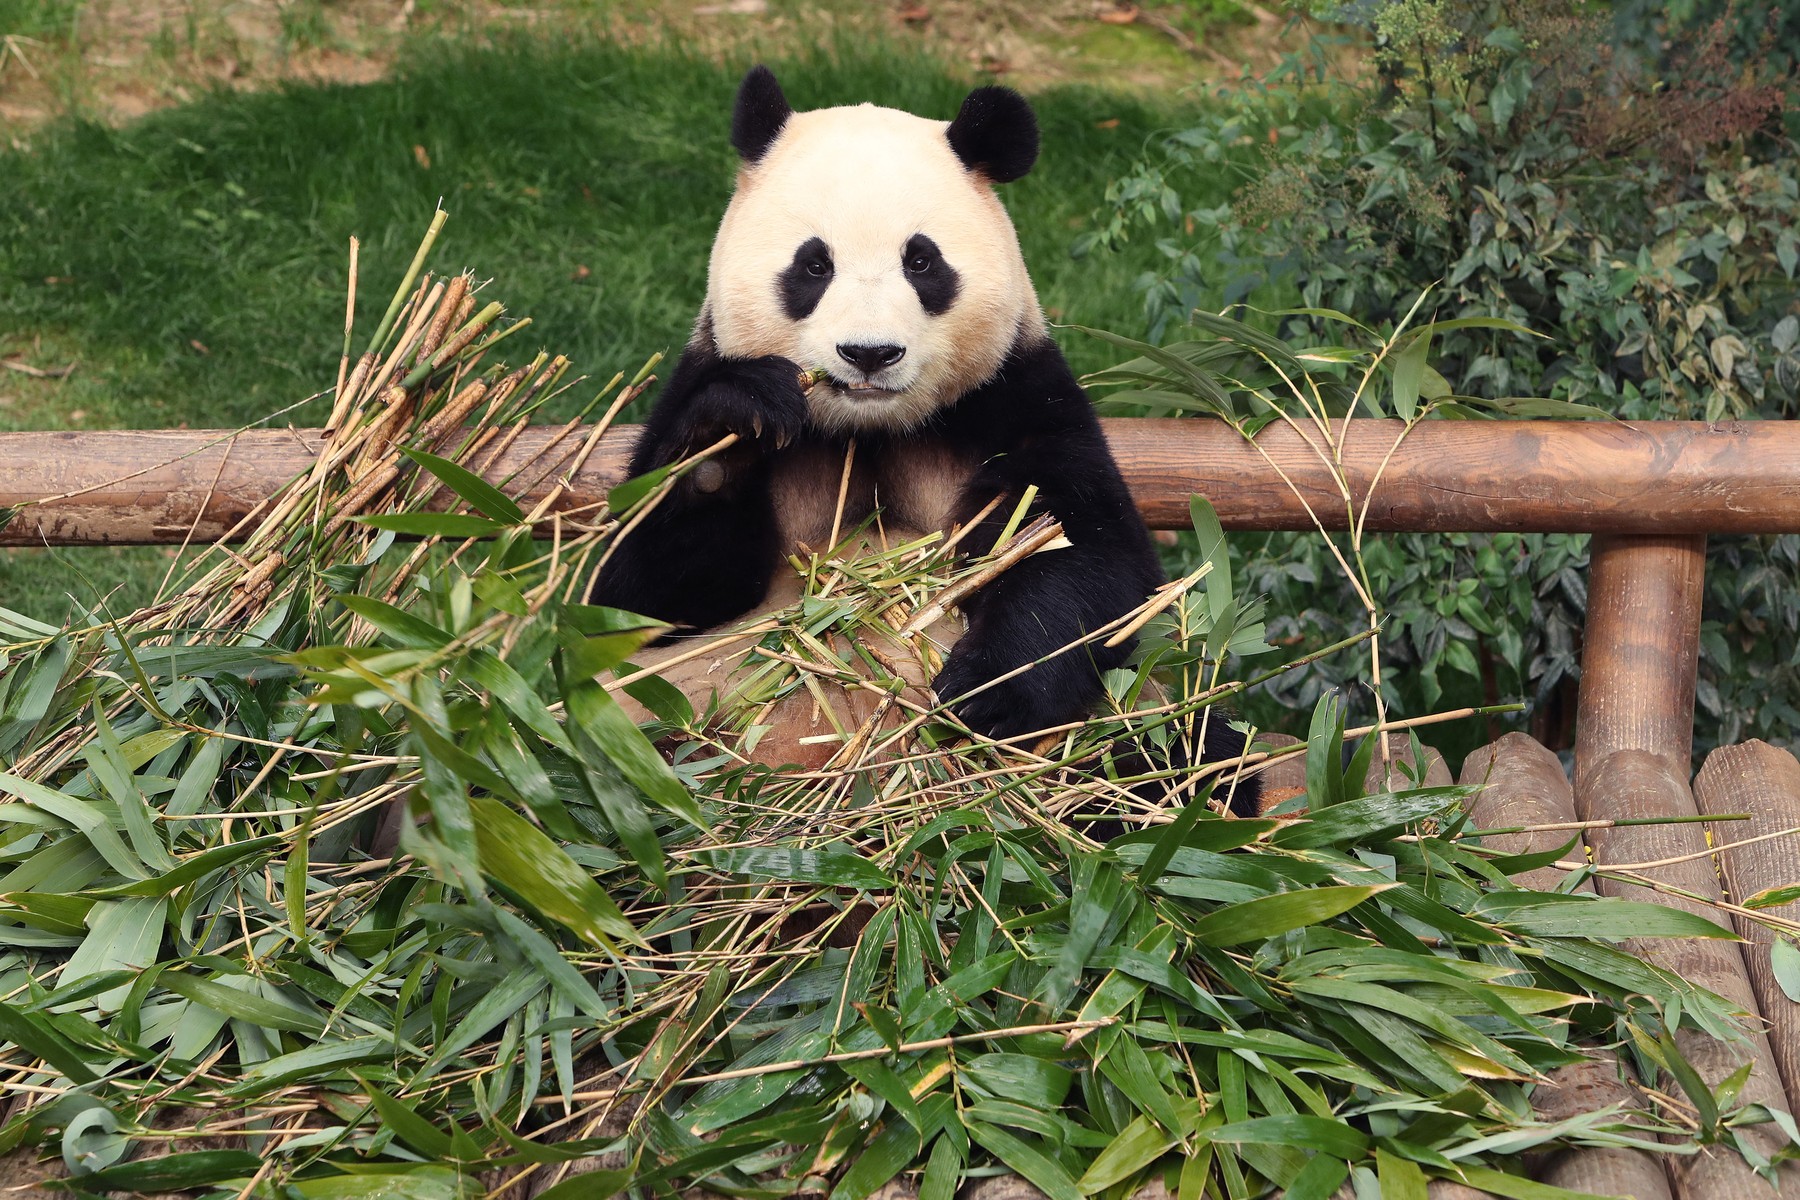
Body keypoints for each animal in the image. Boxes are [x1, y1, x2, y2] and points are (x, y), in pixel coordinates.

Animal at [591, 66, 1257, 818]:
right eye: (813, 266)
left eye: (921, 262)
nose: (869, 353)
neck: (868, 429)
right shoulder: (694, 378)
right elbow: (645, 597)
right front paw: (731, 432)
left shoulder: (1015, 394)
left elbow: (1086, 556)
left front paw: (984, 696)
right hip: (673, 713)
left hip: (1123, 719)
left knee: (1186, 755)